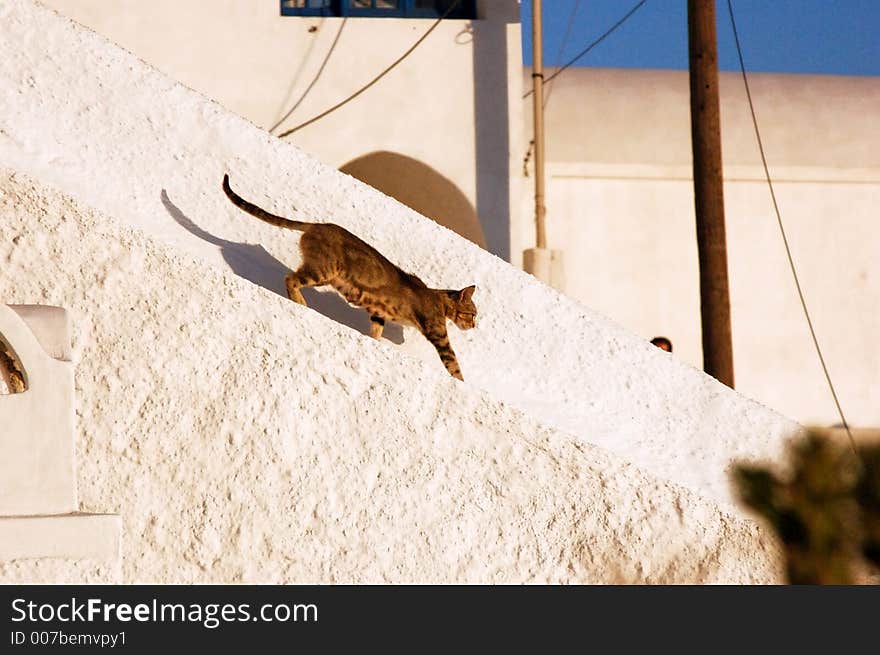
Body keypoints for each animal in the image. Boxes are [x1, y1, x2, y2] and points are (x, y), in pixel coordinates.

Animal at [223, 174, 478, 382]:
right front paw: (462, 382)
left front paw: (374, 341)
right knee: (291, 279)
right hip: (323, 270)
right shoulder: (438, 333)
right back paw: (301, 303)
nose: (475, 326)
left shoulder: (379, 314)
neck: (439, 300)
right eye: (473, 314)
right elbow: (454, 364)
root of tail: (317, 225)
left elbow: (376, 331)